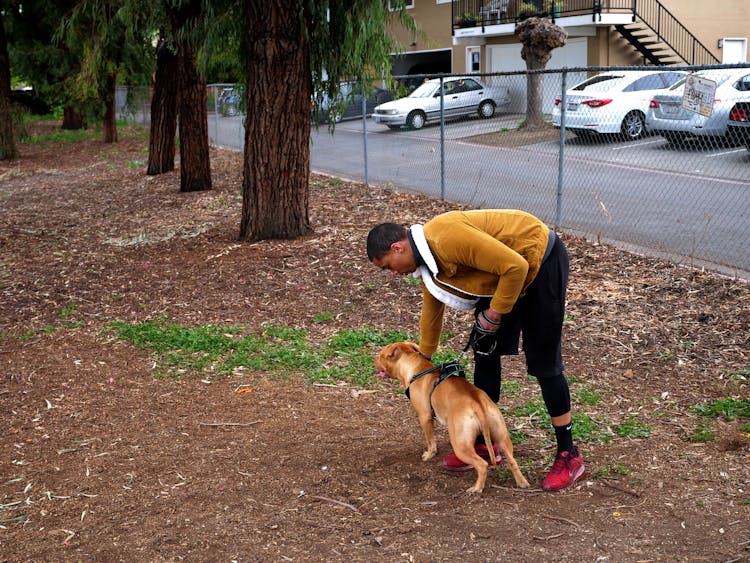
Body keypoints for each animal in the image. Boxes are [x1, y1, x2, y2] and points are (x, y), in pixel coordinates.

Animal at [374, 340, 528, 494]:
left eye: (381, 355)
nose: (374, 358)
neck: (415, 368)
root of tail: (477, 403)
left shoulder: (424, 417)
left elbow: (430, 440)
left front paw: (429, 454)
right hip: (501, 436)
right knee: (512, 460)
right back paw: (522, 483)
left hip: (460, 445)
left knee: (482, 464)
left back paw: (477, 488)